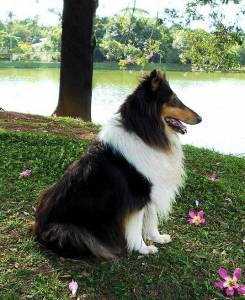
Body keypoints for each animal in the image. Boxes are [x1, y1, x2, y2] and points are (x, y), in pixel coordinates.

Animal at [32, 70, 201, 260]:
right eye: (173, 100)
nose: (200, 118)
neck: (144, 133)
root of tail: (38, 231)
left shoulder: (151, 191)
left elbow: (151, 220)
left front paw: (157, 238)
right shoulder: (137, 196)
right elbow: (136, 227)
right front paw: (143, 248)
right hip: (68, 231)